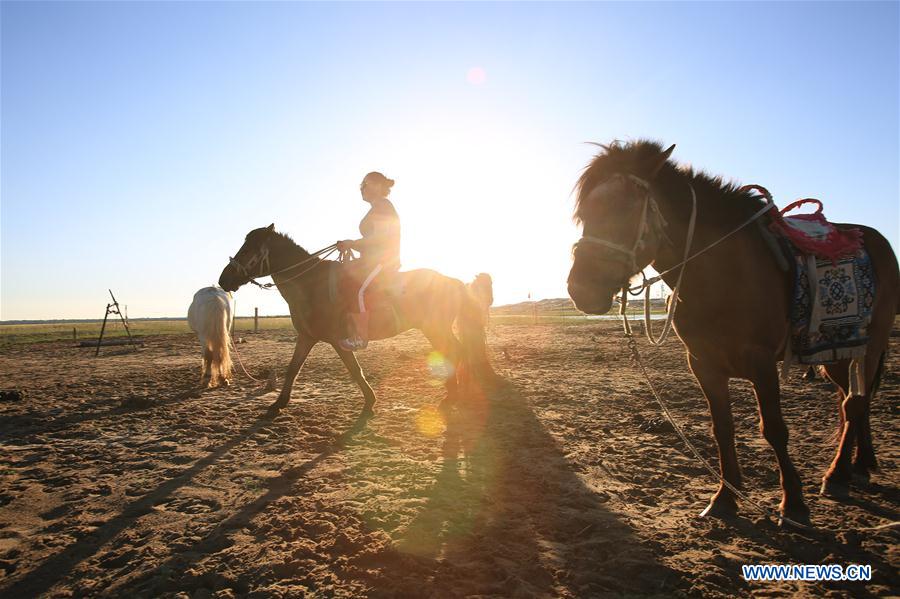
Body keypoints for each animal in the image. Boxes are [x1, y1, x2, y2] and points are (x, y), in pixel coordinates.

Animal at [220, 227, 492, 420]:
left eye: (248, 249)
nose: (224, 280)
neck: (310, 284)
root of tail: (454, 281)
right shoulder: (307, 337)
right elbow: (293, 368)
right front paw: (278, 404)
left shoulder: (337, 340)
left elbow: (354, 369)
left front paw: (369, 403)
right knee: (458, 351)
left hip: (434, 328)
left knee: (455, 351)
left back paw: (452, 396)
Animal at [568, 141, 896, 524]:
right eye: (585, 215)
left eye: (625, 210)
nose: (580, 290)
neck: (721, 272)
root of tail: (875, 239)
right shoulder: (703, 364)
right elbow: (722, 429)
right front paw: (725, 497)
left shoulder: (762, 363)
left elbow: (774, 429)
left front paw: (793, 504)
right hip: (836, 354)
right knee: (853, 401)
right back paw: (860, 464)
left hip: (871, 344)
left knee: (855, 402)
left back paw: (838, 474)